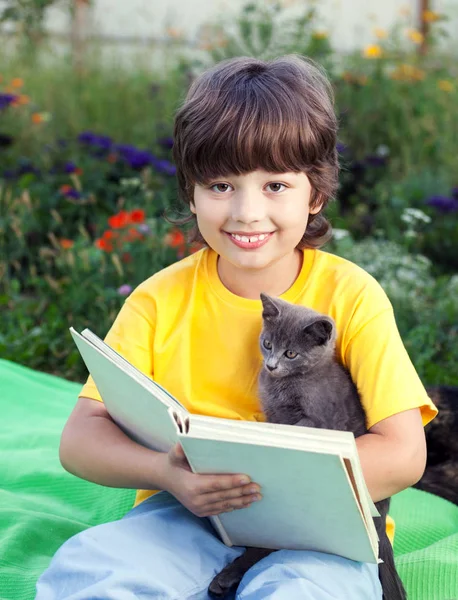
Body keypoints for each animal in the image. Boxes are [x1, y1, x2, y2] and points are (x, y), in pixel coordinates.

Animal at [209, 292, 406, 596]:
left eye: (291, 353)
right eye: (268, 344)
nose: (271, 365)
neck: (288, 384)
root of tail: (381, 519)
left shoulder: (319, 420)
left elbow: (296, 431)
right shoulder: (274, 412)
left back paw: (226, 577)